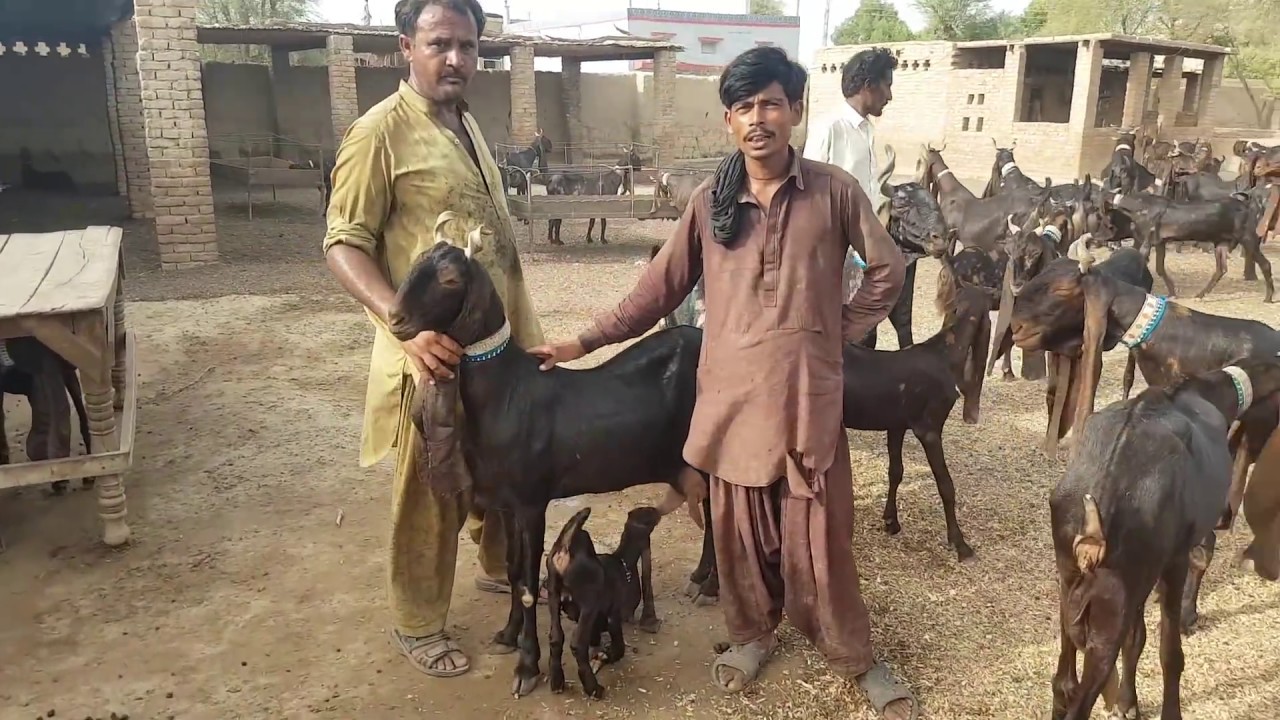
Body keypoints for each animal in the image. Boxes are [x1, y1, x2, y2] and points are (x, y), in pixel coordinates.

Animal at [546, 505, 662, 698]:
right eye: (648, 513)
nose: (658, 510)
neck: (623, 562)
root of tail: (566, 549)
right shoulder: (614, 618)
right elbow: (619, 647)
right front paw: (606, 656)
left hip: (553, 597)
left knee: (556, 638)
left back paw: (557, 682)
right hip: (589, 604)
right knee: (577, 645)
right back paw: (593, 688)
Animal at [1048, 358, 1280, 720]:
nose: (1226, 514)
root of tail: (1092, 540)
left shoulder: (1143, 576)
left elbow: (1136, 640)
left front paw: (1128, 703)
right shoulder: (1173, 562)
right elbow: (1170, 652)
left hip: (1070, 586)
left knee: (1063, 685)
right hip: (1108, 619)